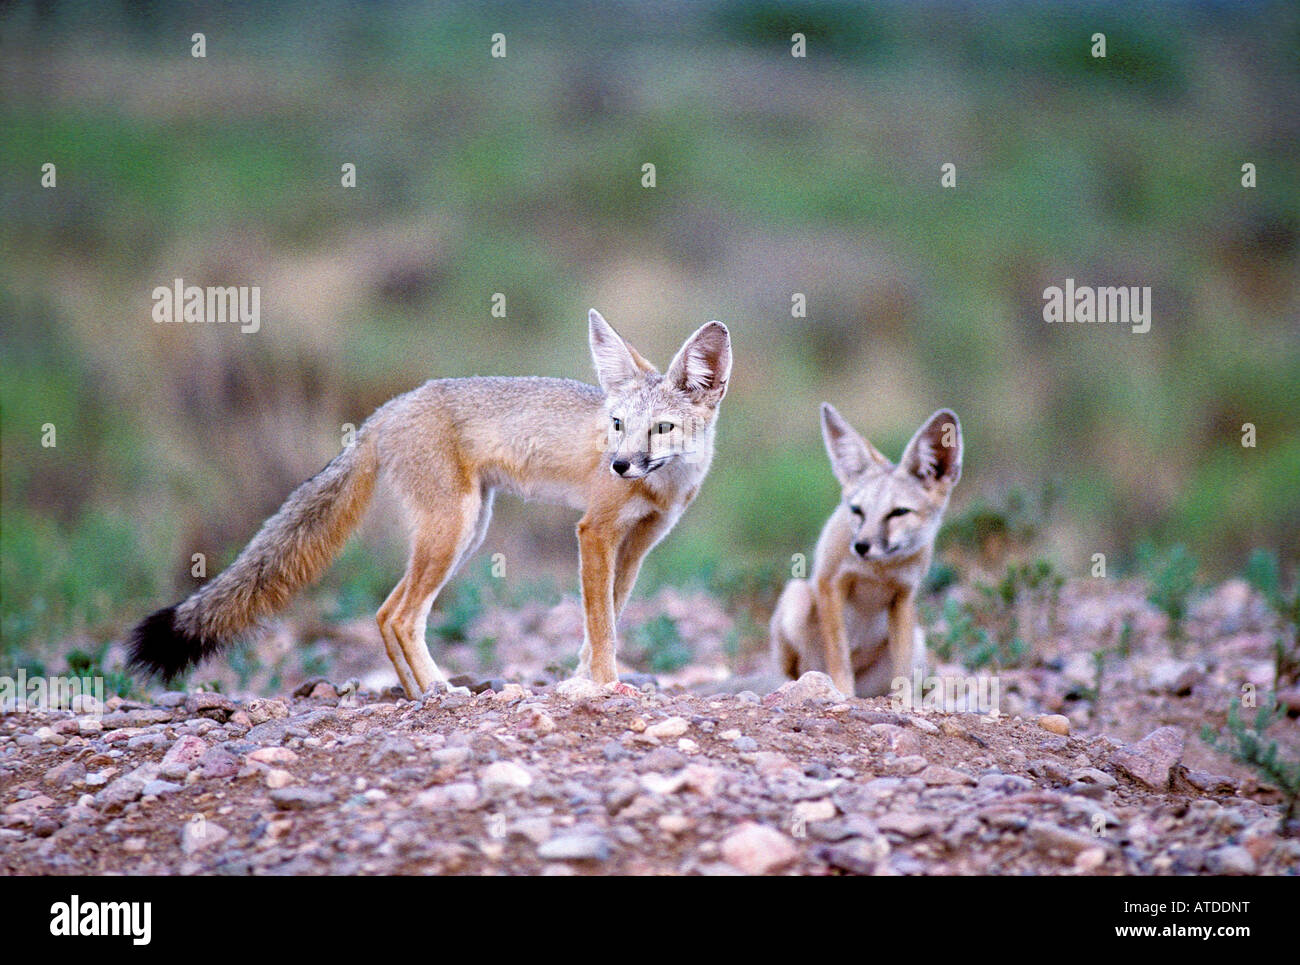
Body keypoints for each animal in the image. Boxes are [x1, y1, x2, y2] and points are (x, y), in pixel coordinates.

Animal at [127, 309, 732, 696]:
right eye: (618, 424)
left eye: (661, 428)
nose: (619, 465)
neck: (664, 486)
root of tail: (386, 409)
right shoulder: (595, 533)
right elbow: (601, 622)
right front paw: (605, 686)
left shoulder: (637, 545)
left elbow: (607, 618)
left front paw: (584, 678)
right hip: (451, 531)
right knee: (398, 615)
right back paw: (437, 689)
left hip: (467, 533)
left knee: (387, 613)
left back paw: (422, 692)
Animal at [770, 404, 962, 698]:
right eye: (857, 510)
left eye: (898, 513)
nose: (860, 546)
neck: (878, 571)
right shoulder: (830, 584)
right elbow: (839, 656)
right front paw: (842, 693)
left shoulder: (903, 597)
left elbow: (902, 668)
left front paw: (904, 700)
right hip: (797, 598)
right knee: (799, 671)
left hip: (918, 640)